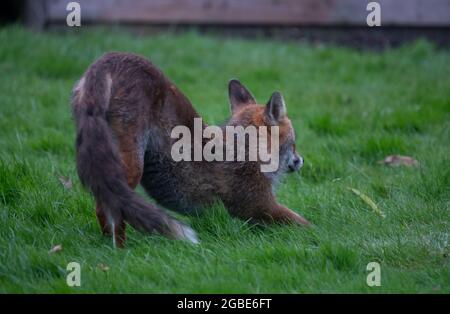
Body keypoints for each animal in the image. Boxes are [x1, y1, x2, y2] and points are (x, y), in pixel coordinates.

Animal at [72, 52, 310, 248]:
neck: (247, 147)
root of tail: (110, 59)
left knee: (101, 208)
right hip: (131, 167)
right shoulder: (260, 206)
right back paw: (121, 251)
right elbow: (306, 224)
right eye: (294, 142)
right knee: (112, 208)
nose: (300, 161)